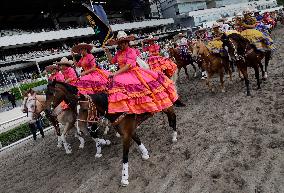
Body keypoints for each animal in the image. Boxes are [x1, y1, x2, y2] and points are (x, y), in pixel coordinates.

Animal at [45, 80, 178, 186]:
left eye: (51, 93)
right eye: (77, 110)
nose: (48, 111)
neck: (118, 110)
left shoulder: (125, 135)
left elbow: (124, 156)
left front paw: (124, 178)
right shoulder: (129, 131)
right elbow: (138, 140)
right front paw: (145, 154)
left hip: (167, 106)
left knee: (173, 118)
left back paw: (174, 136)